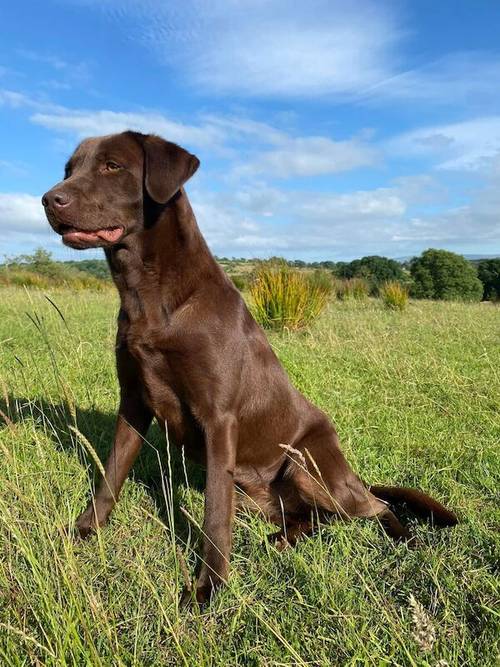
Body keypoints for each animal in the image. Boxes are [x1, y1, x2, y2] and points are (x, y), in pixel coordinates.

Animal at [43, 132, 458, 604]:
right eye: (69, 170)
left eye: (112, 166)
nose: (48, 200)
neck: (150, 294)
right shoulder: (133, 402)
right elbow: (110, 472)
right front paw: (84, 530)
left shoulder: (218, 418)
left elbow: (213, 513)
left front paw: (208, 586)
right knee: (316, 518)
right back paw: (284, 538)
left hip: (307, 463)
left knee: (373, 506)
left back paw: (403, 537)